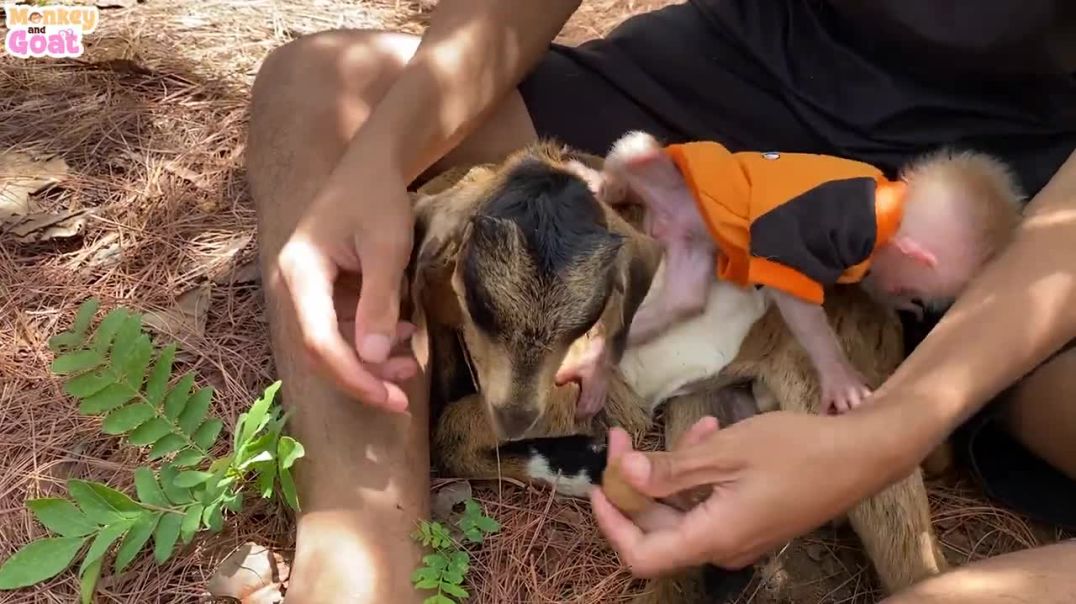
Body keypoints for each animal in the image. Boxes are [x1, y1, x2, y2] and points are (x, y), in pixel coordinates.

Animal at [596, 130, 1024, 414]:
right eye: (914, 286)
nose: (905, 296)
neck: (886, 206)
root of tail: (659, 221)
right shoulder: (831, 226)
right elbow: (795, 297)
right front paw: (841, 379)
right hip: (678, 182)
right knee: (638, 150)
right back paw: (612, 180)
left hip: (689, 242)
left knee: (684, 300)